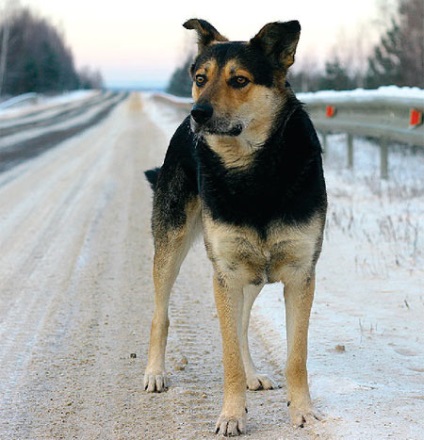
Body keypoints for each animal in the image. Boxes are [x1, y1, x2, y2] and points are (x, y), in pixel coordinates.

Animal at [144, 18, 326, 436]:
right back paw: (155, 373)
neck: (253, 170)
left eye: (239, 80)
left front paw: (303, 411)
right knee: (161, 314)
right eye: (200, 78)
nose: (197, 113)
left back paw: (252, 374)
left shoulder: (299, 273)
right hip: (172, 247)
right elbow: (227, 354)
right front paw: (230, 414)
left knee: (242, 325)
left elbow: (296, 356)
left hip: (252, 275)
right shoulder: (225, 273)